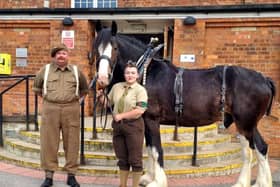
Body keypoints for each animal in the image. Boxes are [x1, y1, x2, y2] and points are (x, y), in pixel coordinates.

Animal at [92, 20, 276, 187]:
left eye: (115, 48)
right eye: (96, 49)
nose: (102, 78)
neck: (145, 71)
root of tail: (264, 79)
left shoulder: (152, 119)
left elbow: (156, 150)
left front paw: (158, 181)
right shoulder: (145, 120)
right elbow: (150, 149)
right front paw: (148, 178)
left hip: (246, 122)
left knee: (258, 148)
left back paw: (260, 183)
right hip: (244, 124)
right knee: (252, 150)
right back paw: (246, 182)